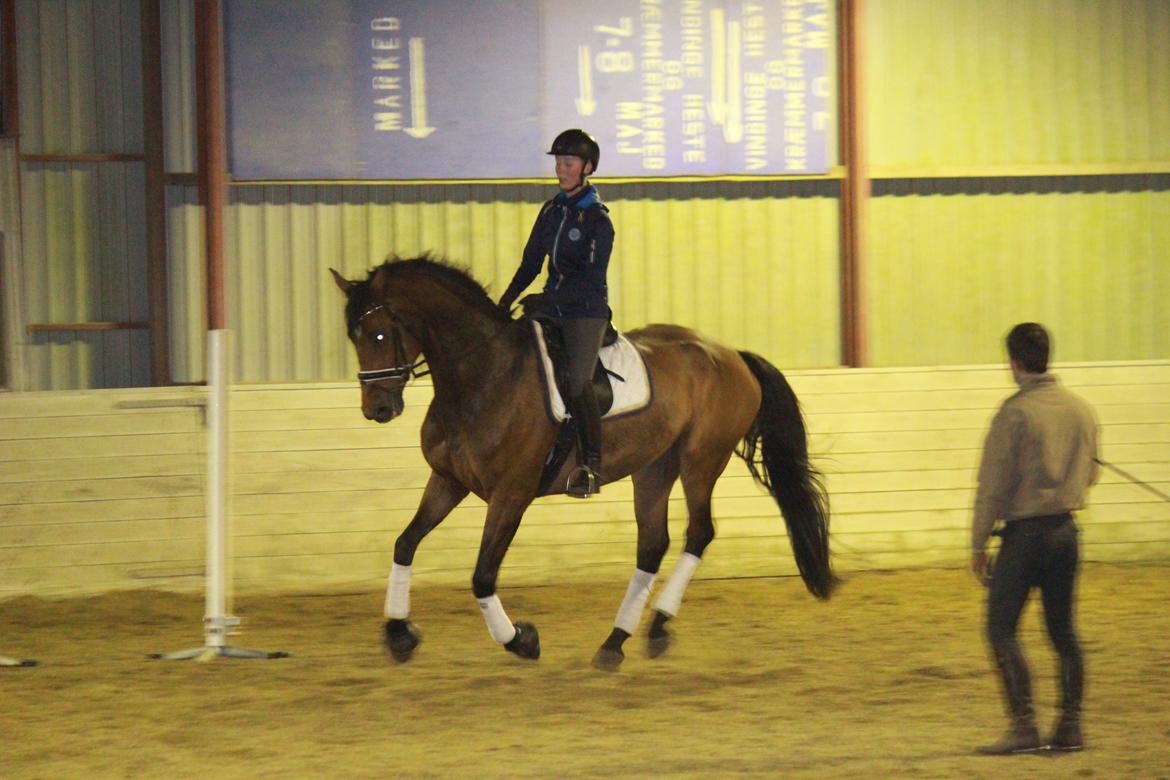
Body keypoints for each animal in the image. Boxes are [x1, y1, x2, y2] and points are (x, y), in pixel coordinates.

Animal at [332, 257, 833, 673]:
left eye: (379, 334)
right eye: (353, 337)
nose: (377, 409)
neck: (481, 378)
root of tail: (730, 354)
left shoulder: (511, 494)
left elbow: (482, 575)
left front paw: (521, 640)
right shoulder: (448, 481)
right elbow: (404, 544)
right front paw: (399, 633)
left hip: (701, 458)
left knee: (698, 533)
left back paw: (657, 625)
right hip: (654, 466)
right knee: (653, 544)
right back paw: (617, 641)